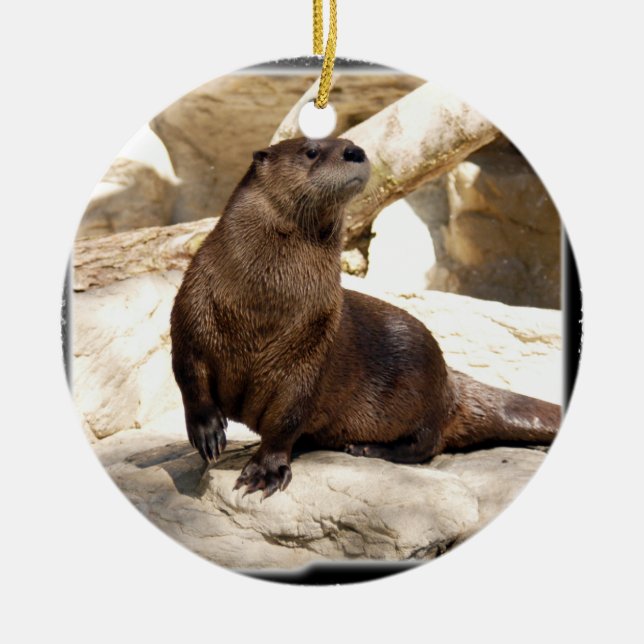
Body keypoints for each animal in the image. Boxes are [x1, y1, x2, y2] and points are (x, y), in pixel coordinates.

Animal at [170, 137, 561, 498]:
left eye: (348, 143)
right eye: (311, 151)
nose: (354, 150)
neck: (261, 305)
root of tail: (450, 381)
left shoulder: (312, 347)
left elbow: (287, 417)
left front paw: (265, 470)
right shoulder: (192, 312)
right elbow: (189, 377)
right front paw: (207, 433)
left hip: (420, 382)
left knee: (426, 444)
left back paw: (368, 447)